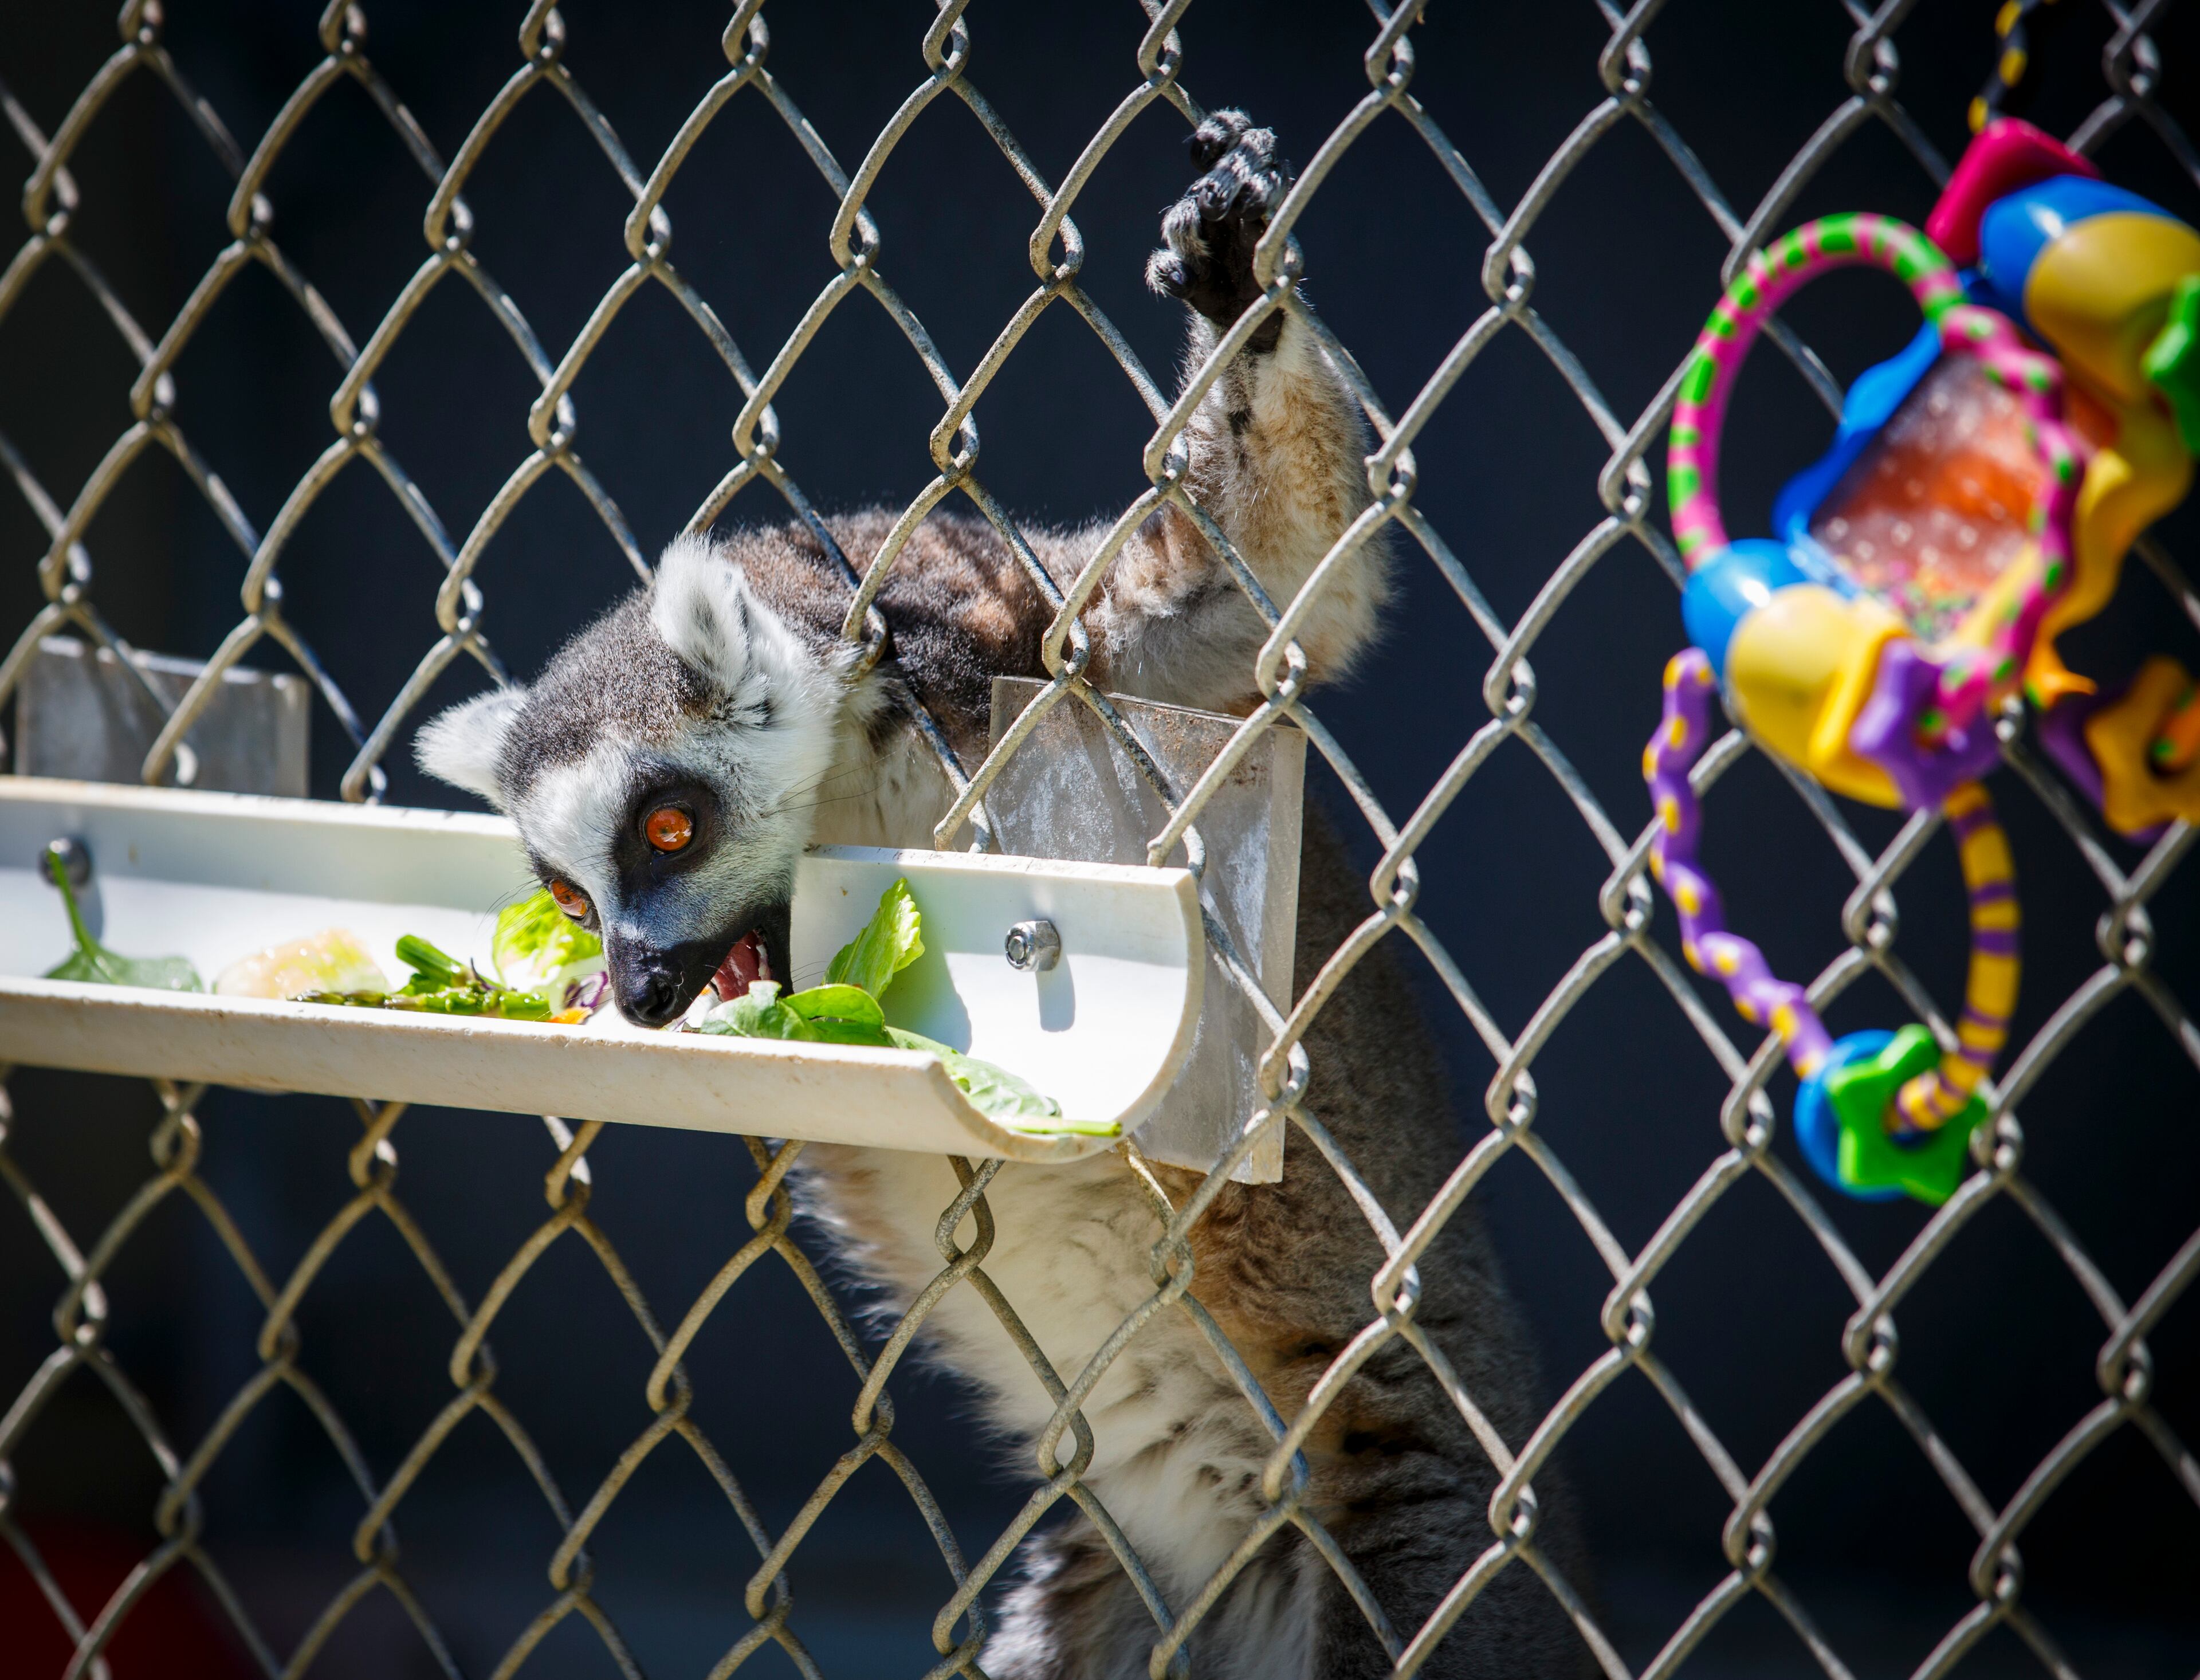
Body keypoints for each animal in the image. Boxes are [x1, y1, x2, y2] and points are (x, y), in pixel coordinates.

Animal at [416, 111, 1586, 1679]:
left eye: (668, 825)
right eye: (565, 887)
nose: (648, 990)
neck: (863, 788)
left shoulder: (1015, 643)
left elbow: (1260, 593)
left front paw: (1237, 292)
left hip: (1434, 1517)